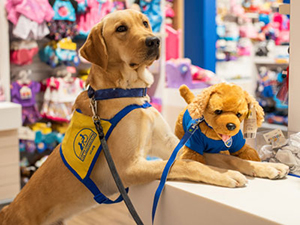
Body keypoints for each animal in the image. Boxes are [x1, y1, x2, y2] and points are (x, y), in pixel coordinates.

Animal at [1, 9, 290, 225]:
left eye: (146, 22)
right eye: (121, 29)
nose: (154, 40)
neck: (130, 93)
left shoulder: (175, 148)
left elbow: (222, 157)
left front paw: (265, 167)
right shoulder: (129, 168)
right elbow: (190, 165)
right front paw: (226, 175)